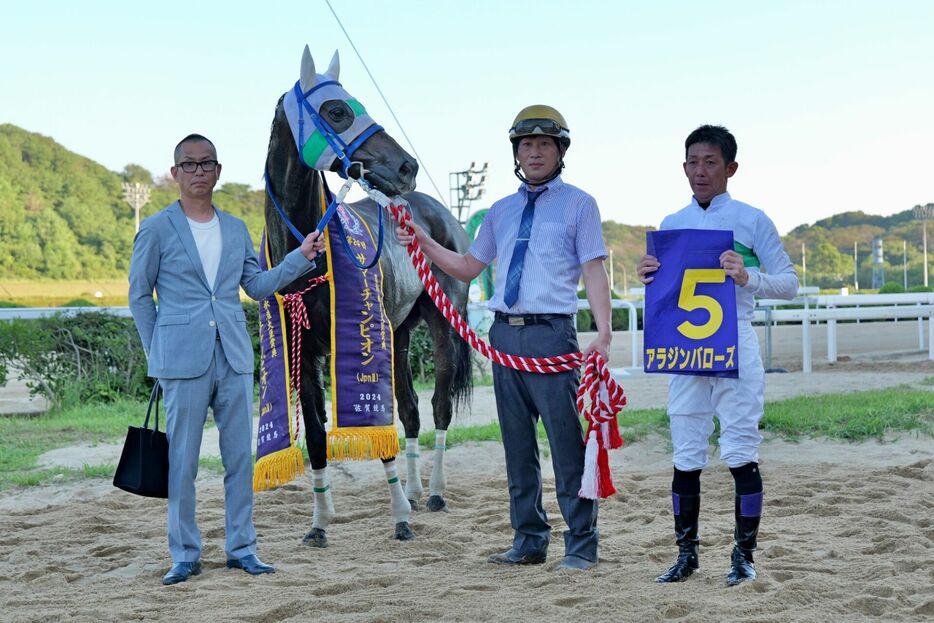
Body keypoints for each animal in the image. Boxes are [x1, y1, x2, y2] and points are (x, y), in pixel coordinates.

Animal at [264, 47, 472, 544]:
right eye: (337, 111)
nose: (406, 167)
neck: (310, 254)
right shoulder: (306, 353)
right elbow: (316, 436)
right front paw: (319, 523)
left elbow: (381, 428)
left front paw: (400, 517)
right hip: (398, 333)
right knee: (412, 411)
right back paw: (415, 492)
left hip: (442, 324)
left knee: (437, 407)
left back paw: (434, 493)